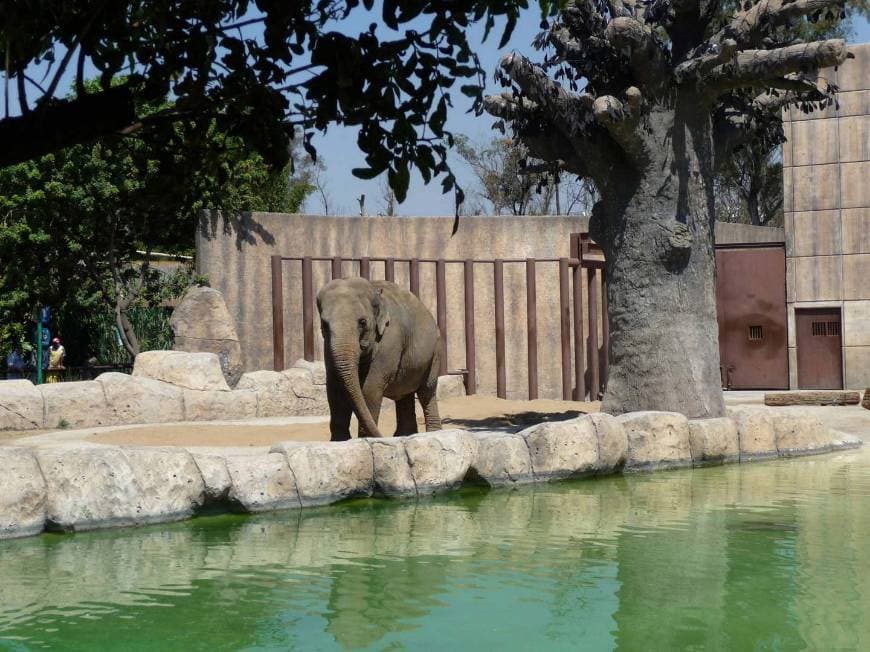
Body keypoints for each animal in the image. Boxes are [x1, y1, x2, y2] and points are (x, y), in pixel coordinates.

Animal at [316, 278, 442, 440]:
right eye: (324, 324)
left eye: (362, 322)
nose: (381, 436)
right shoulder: (328, 345)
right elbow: (334, 388)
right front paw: (339, 441)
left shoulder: (390, 339)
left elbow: (370, 388)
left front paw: (366, 439)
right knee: (405, 393)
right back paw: (404, 435)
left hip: (435, 352)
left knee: (427, 391)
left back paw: (433, 433)